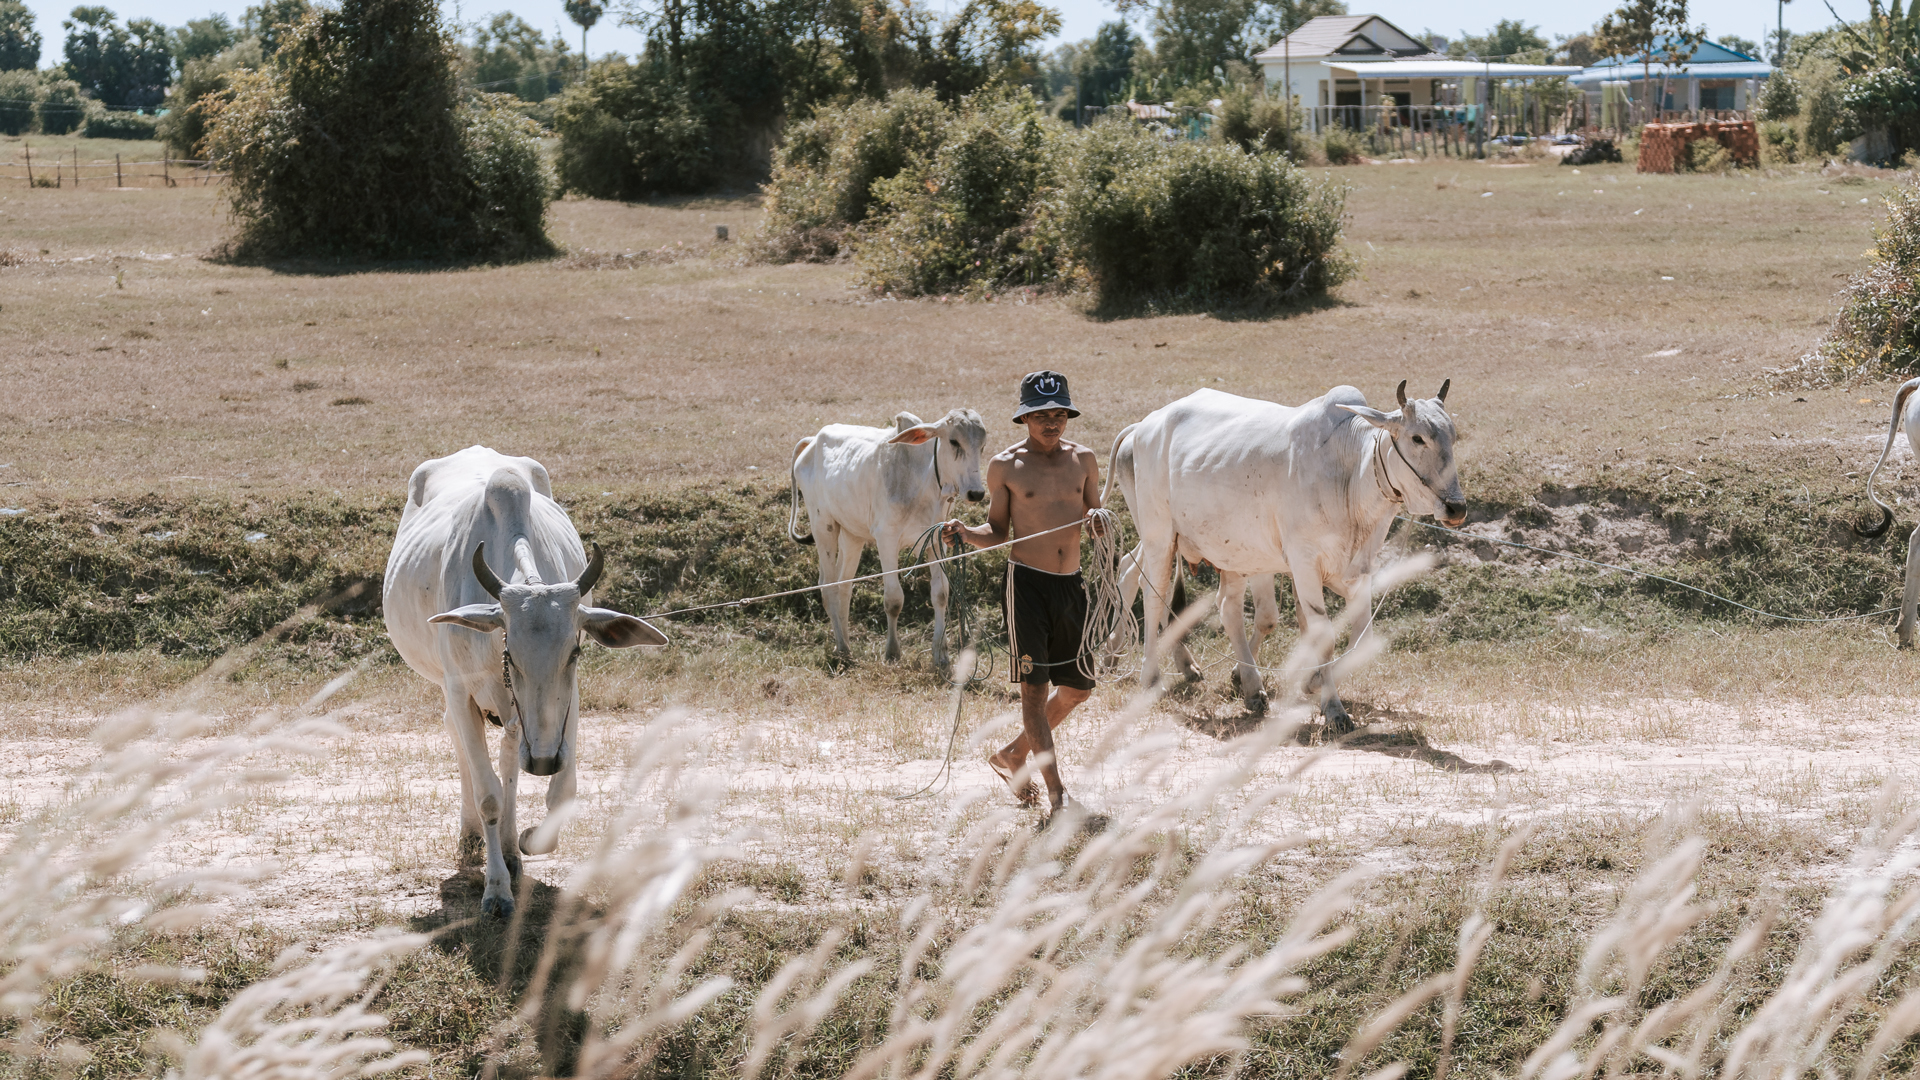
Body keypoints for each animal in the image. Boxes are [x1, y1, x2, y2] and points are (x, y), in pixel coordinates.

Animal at [382, 445, 668, 914]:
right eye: (509, 654)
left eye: (575, 652)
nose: (544, 760)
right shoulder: (461, 690)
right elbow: (489, 795)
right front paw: (496, 889)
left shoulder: (567, 698)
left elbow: (560, 790)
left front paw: (529, 840)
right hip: (454, 689)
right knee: (463, 746)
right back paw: (473, 837)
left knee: (508, 756)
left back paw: (511, 846)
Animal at [787, 407, 990, 668]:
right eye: (954, 441)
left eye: (982, 445)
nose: (976, 493)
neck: (923, 481)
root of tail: (812, 442)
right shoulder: (887, 539)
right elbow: (893, 600)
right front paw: (892, 652)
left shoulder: (936, 540)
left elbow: (941, 594)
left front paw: (941, 654)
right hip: (824, 526)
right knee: (828, 586)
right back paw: (842, 648)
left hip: (852, 535)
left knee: (844, 585)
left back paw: (846, 642)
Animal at [1113, 380, 1466, 730]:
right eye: (1417, 438)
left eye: (1453, 436)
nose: (1456, 508)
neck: (1348, 471)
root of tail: (1143, 427)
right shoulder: (1304, 562)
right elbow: (1322, 634)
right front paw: (1333, 708)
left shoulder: (1359, 569)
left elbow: (1358, 639)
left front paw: (1312, 681)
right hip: (1159, 536)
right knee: (1153, 593)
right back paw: (1150, 676)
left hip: (1229, 550)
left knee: (1219, 606)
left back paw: (1248, 687)